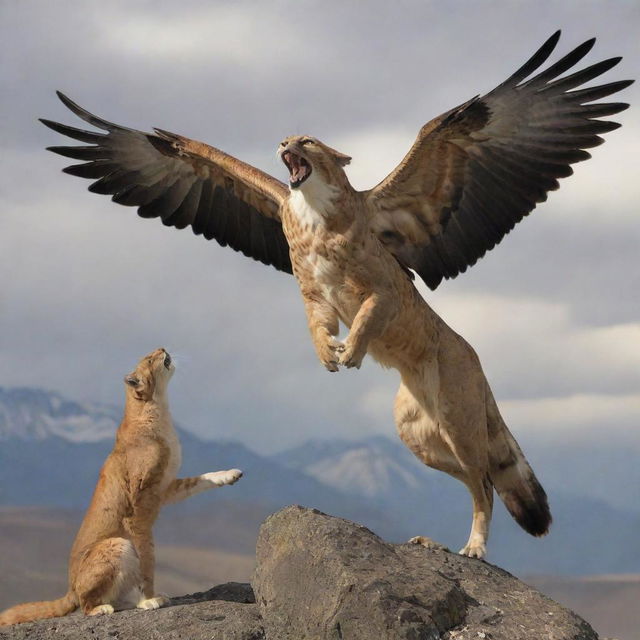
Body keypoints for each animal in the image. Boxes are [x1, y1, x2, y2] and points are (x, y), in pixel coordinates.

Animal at [0, 348, 242, 624]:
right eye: (149, 359)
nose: (162, 348)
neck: (156, 407)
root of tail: (70, 588)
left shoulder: (165, 488)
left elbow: (201, 479)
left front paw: (230, 474)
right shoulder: (137, 511)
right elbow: (147, 557)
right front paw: (150, 598)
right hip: (115, 544)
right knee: (86, 603)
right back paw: (105, 608)